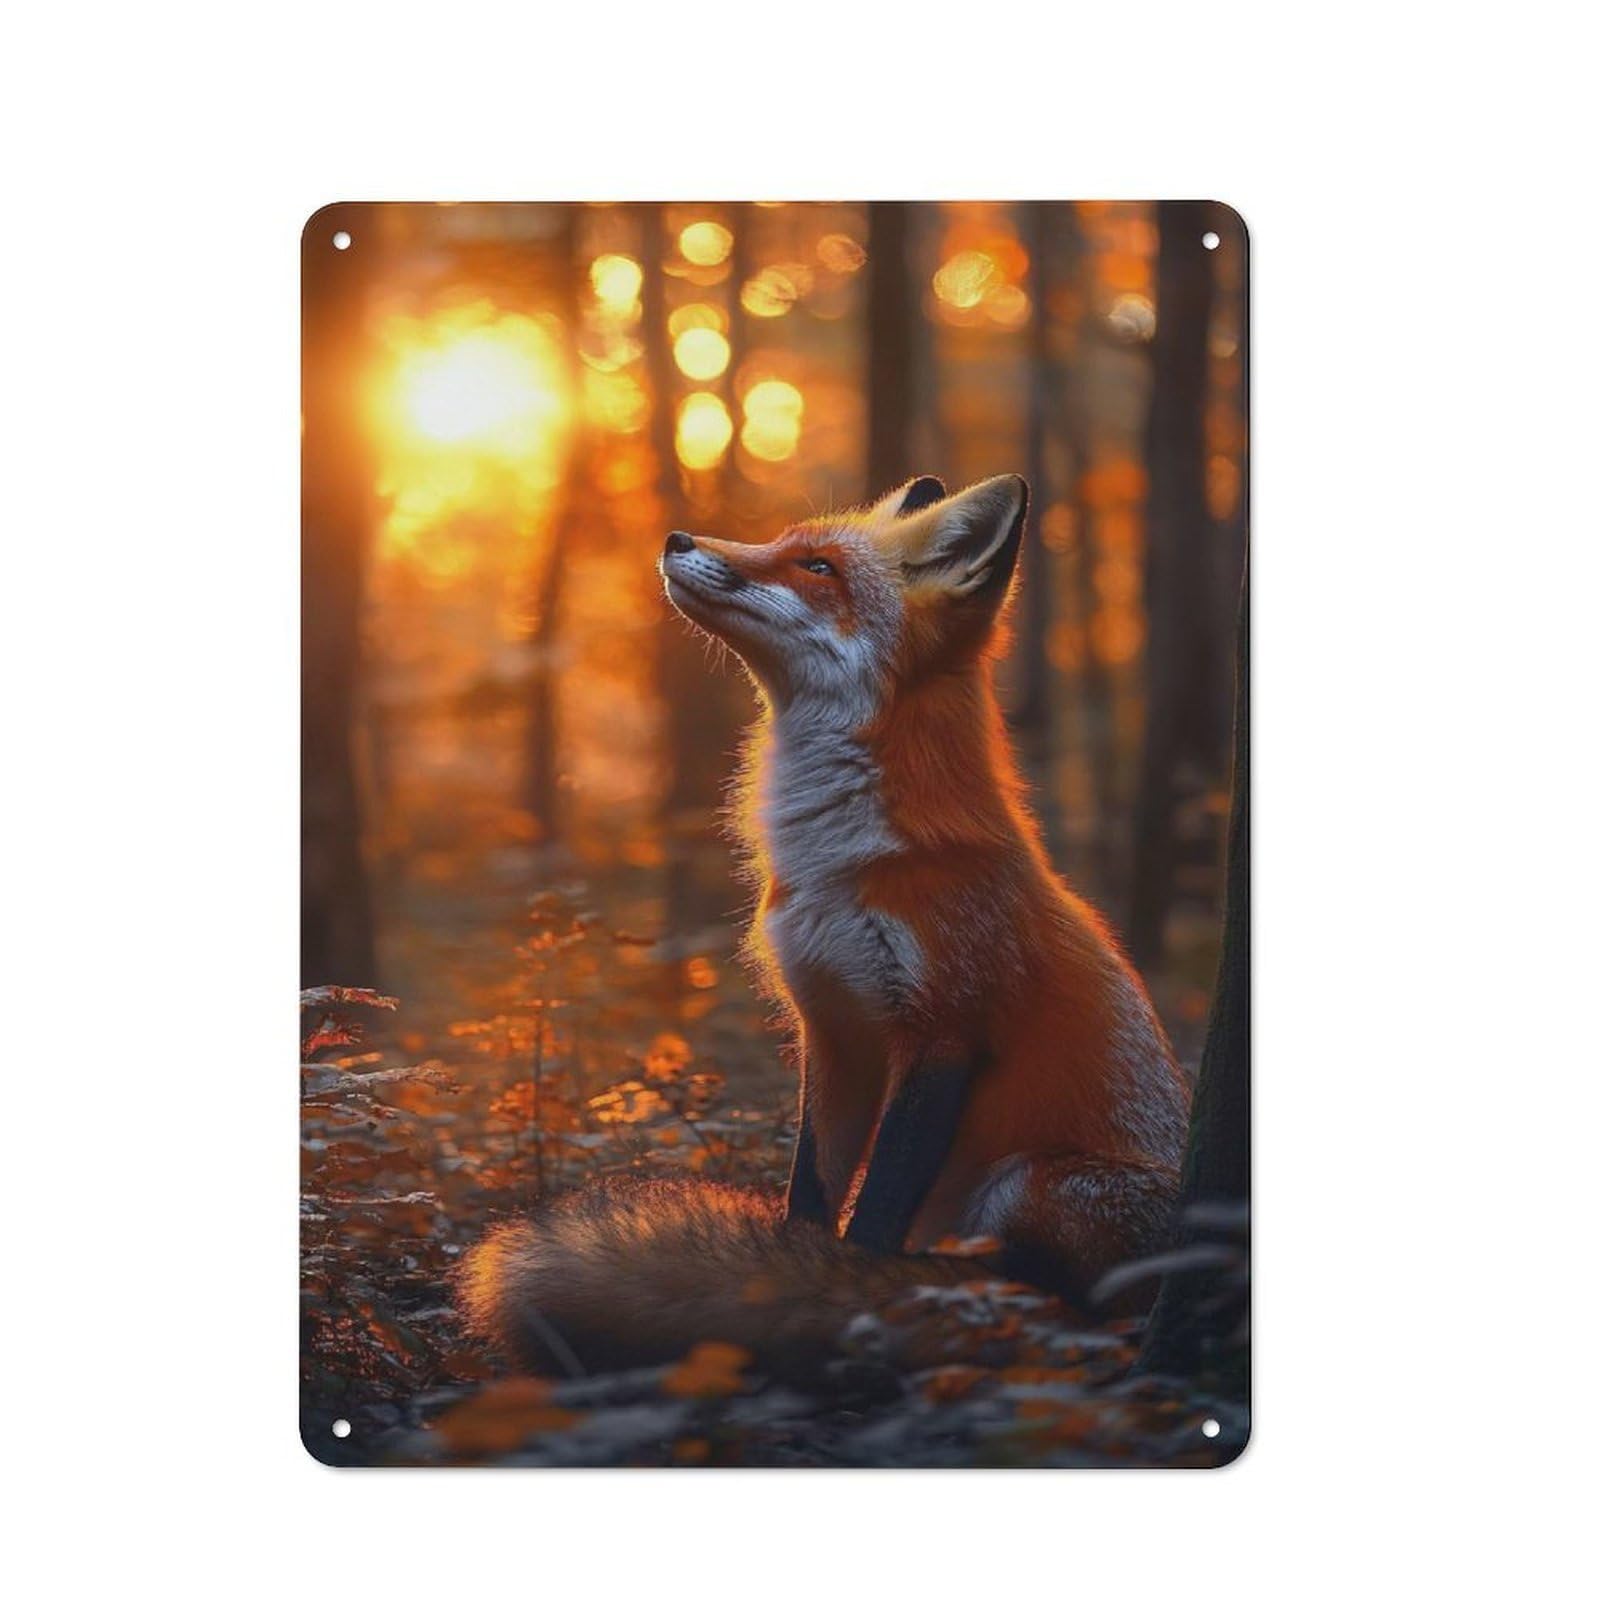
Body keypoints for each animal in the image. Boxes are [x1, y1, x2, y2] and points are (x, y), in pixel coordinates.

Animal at [459, 474, 1192, 1375]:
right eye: (783, 541)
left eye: (817, 568)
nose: (675, 539)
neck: (837, 866)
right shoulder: (834, 1030)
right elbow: (810, 1195)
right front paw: (790, 1276)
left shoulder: (947, 1029)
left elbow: (873, 1215)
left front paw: (849, 1296)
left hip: (1035, 1180)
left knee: (1063, 1297)